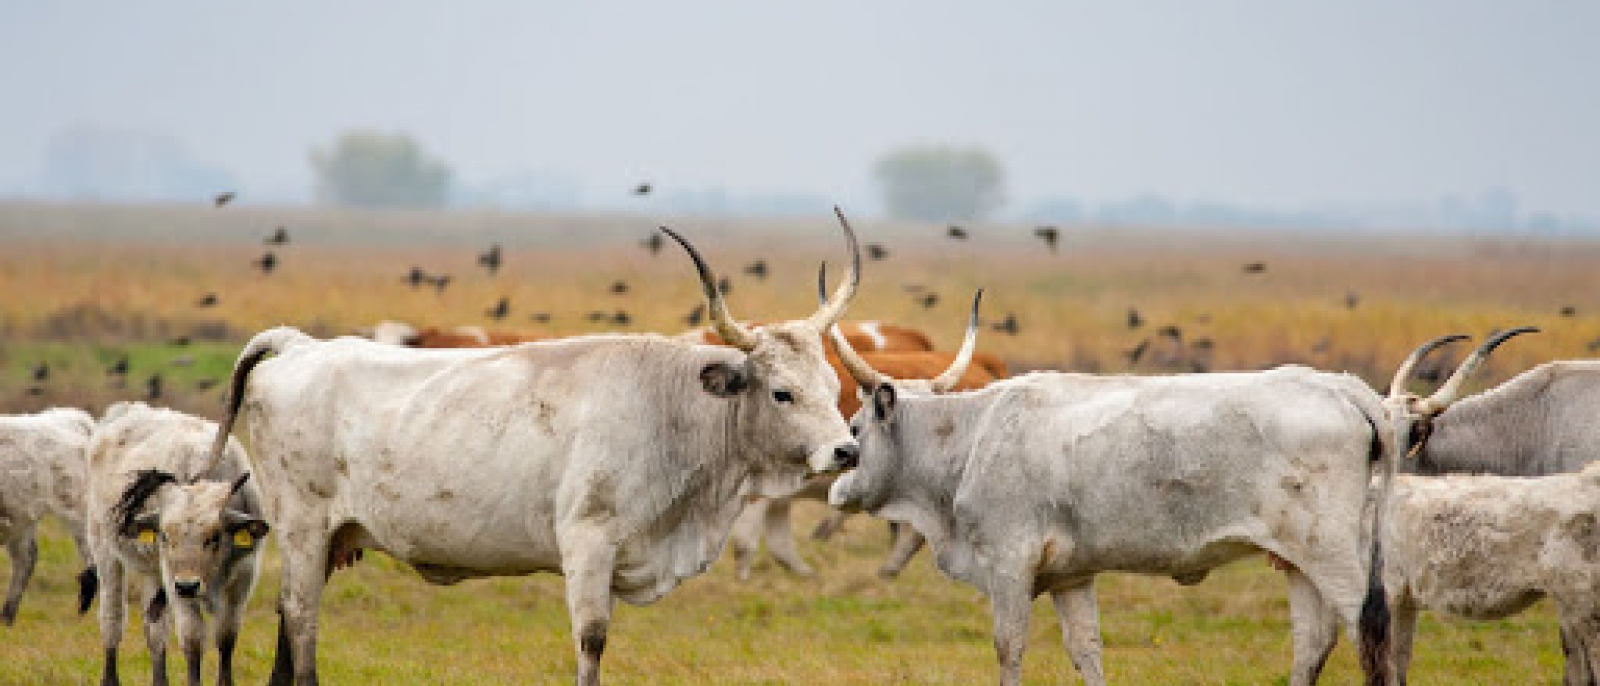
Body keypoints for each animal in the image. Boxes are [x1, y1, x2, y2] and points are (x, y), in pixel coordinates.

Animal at [86, 401, 268, 684]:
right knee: (112, 619)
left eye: (215, 536)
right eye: (165, 536)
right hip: (105, 552)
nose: (187, 585)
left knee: (155, 631)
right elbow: (192, 640)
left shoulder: (243, 579)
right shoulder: (175, 582)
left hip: (154, 572)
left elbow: (226, 637)